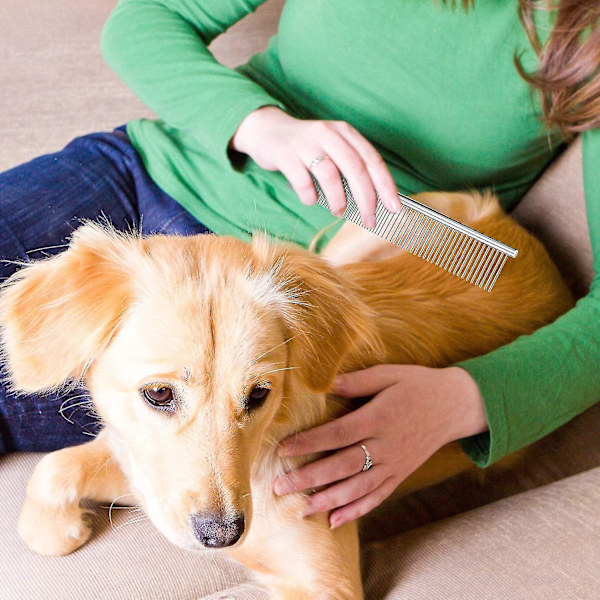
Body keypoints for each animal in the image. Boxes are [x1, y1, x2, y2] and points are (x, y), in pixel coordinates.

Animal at [0, 191, 572, 600]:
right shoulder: (143, 467)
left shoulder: (325, 580)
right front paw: (52, 530)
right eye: (159, 393)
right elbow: (56, 465)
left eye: (259, 395)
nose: (221, 536)